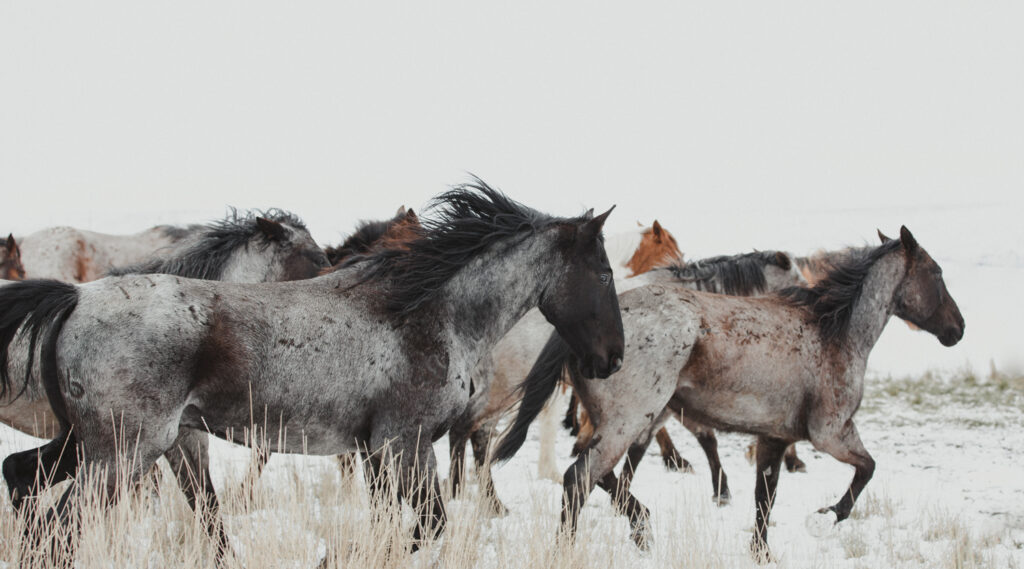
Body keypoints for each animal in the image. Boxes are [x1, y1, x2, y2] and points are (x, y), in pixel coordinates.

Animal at [495, 226, 963, 560]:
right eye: (937, 273)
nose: (957, 329)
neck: (833, 332)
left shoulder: (774, 438)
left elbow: (764, 500)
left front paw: (761, 554)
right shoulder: (831, 433)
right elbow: (867, 469)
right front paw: (826, 517)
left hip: (624, 423)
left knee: (596, 471)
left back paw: (642, 528)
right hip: (628, 422)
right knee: (578, 479)